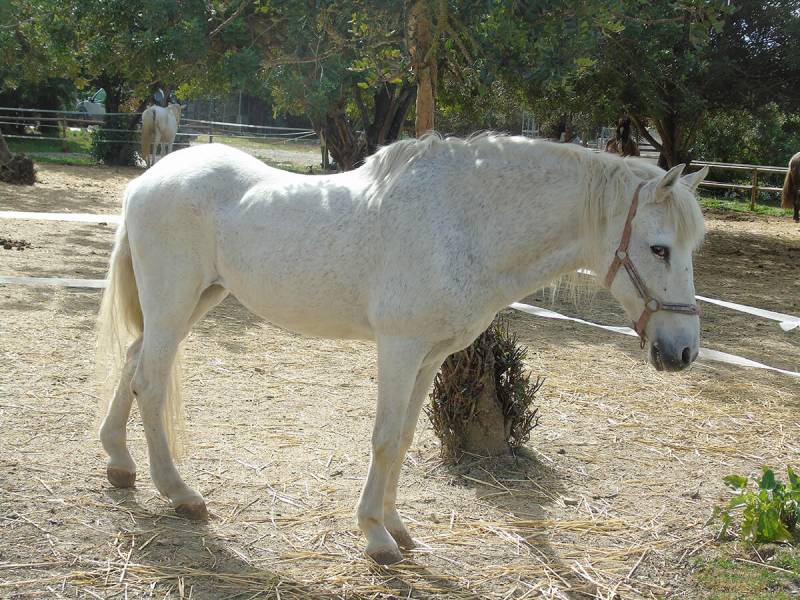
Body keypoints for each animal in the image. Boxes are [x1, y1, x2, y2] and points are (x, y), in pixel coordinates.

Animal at [98, 134, 708, 564]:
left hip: (196, 300)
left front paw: (397, 528)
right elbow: (386, 440)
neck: (461, 224)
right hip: (174, 301)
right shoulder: (399, 348)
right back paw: (180, 493)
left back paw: (120, 465)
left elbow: (408, 438)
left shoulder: (430, 356)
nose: (682, 352)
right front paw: (376, 537)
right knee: (150, 383)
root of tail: (149, 180)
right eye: (659, 248)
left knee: (132, 362)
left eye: (691, 246)